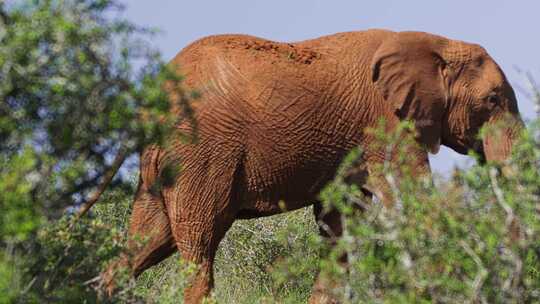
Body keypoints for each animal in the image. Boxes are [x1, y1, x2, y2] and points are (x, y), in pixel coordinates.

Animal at [100, 29, 524, 302]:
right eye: (492, 101)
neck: (436, 44)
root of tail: (150, 99)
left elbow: (339, 222)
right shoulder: (385, 123)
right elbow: (410, 200)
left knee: (148, 239)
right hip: (202, 154)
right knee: (198, 242)